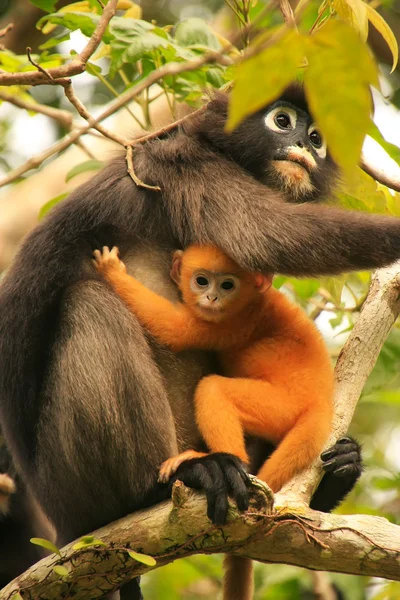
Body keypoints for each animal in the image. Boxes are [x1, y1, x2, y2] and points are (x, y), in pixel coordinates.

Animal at [94, 241, 334, 494]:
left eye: (228, 285)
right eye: (202, 281)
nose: (212, 297)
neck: (254, 301)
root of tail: (321, 404)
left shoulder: (231, 323)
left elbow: (174, 329)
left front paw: (112, 270)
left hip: (282, 407)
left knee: (212, 389)